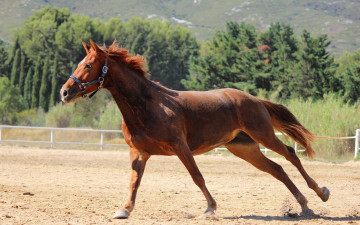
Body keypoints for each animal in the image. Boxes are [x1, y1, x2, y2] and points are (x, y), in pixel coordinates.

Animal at [61, 39, 330, 219]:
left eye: (88, 65)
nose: (65, 92)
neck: (147, 104)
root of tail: (254, 99)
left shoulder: (180, 146)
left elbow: (197, 176)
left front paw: (211, 207)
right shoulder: (138, 152)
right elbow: (134, 181)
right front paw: (124, 210)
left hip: (263, 135)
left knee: (291, 154)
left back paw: (320, 193)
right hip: (245, 148)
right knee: (277, 169)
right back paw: (304, 205)